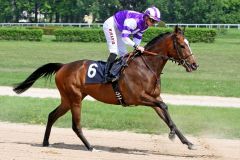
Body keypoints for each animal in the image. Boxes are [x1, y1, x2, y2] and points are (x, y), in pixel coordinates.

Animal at [12, 25, 199, 151]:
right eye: (182, 45)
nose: (194, 65)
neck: (146, 67)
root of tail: (63, 66)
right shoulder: (138, 97)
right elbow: (165, 107)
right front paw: (172, 134)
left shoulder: (154, 98)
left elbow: (166, 114)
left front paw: (188, 142)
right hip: (75, 98)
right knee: (76, 125)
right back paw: (90, 146)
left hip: (68, 99)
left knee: (52, 115)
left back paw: (45, 142)